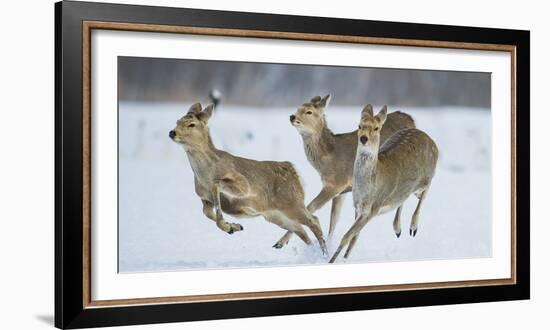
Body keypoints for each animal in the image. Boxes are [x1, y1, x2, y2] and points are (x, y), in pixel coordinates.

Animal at [169, 103, 328, 255]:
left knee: (314, 221)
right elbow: (207, 213)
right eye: (177, 121)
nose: (172, 132)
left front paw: (230, 226)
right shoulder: (204, 198)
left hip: (291, 202)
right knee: (301, 230)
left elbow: (218, 187)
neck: (205, 176)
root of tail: (292, 170)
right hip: (275, 215)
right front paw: (234, 227)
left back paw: (324, 253)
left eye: (192, 124)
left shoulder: (243, 185)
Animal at [292, 93, 416, 245]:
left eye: (309, 111)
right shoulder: (341, 191)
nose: (292, 117)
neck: (327, 158)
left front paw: (281, 242)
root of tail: (410, 118)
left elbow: (310, 208)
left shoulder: (336, 183)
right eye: (298, 108)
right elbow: (333, 219)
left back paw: (400, 228)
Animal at [330, 105, 442, 262]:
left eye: (376, 128)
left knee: (424, 193)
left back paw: (413, 228)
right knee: (404, 198)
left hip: (426, 177)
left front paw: (332, 260)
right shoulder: (357, 206)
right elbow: (354, 238)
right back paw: (398, 229)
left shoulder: (374, 208)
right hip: (408, 190)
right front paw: (344, 259)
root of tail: (430, 139)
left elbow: (347, 236)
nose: (363, 138)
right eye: (359, 125)